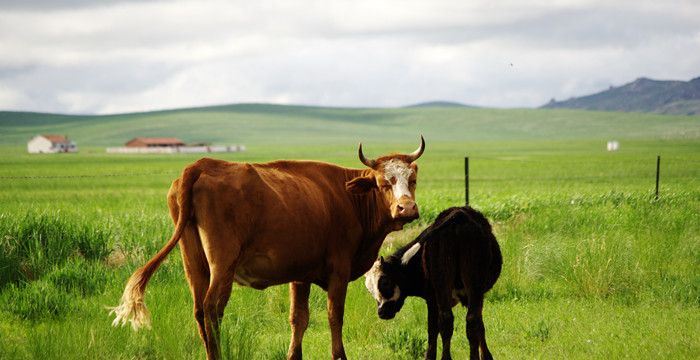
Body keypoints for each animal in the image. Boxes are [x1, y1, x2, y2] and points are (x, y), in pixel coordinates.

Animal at [110, 136, 426, 358]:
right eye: (383, 183)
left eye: (412, 180)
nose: (406, 208)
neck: (348, 198)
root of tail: (200, 164)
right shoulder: (339, 270)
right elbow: (334, 317)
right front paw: (340, 356)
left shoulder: (301, 274)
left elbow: (298, 319)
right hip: (222, 264)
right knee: (212, 309)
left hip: (194, 263)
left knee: (199, 311)